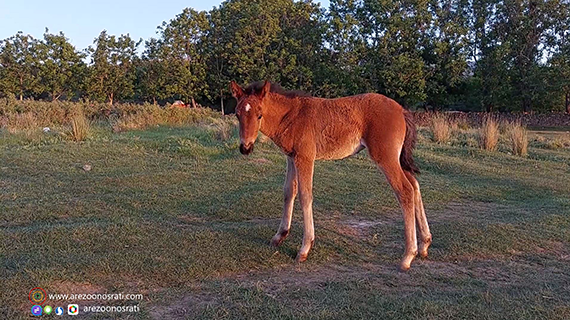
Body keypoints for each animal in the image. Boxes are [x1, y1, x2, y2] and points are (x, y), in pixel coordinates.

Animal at [229, 79, 428, 270]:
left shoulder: (305, 158)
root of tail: (401, 110)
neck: (292, 116)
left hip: (386, 158)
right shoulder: (291, 158)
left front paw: (304, 249)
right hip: (397, 159)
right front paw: (280, 236)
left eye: (259, 114)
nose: (245, 148)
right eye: (237, 115)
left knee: (405, 191)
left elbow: (305, 195)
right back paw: (424, 244)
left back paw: (408, 256)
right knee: (415, 186)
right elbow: (288, 192)